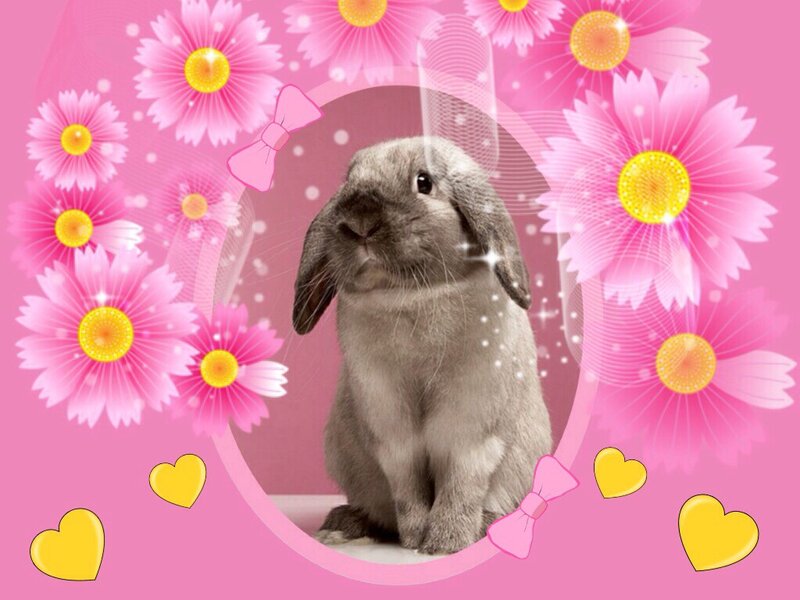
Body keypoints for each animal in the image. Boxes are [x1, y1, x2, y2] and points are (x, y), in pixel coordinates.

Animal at [292, 136, 552, 555]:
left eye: (424, 182)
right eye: (349, 180)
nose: (360, 222)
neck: (411, 297)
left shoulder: (470, 429)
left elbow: (460, 482)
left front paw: (446, 543)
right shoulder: (391, 431)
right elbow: (407, 485)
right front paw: (414, 537)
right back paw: (341, 527)